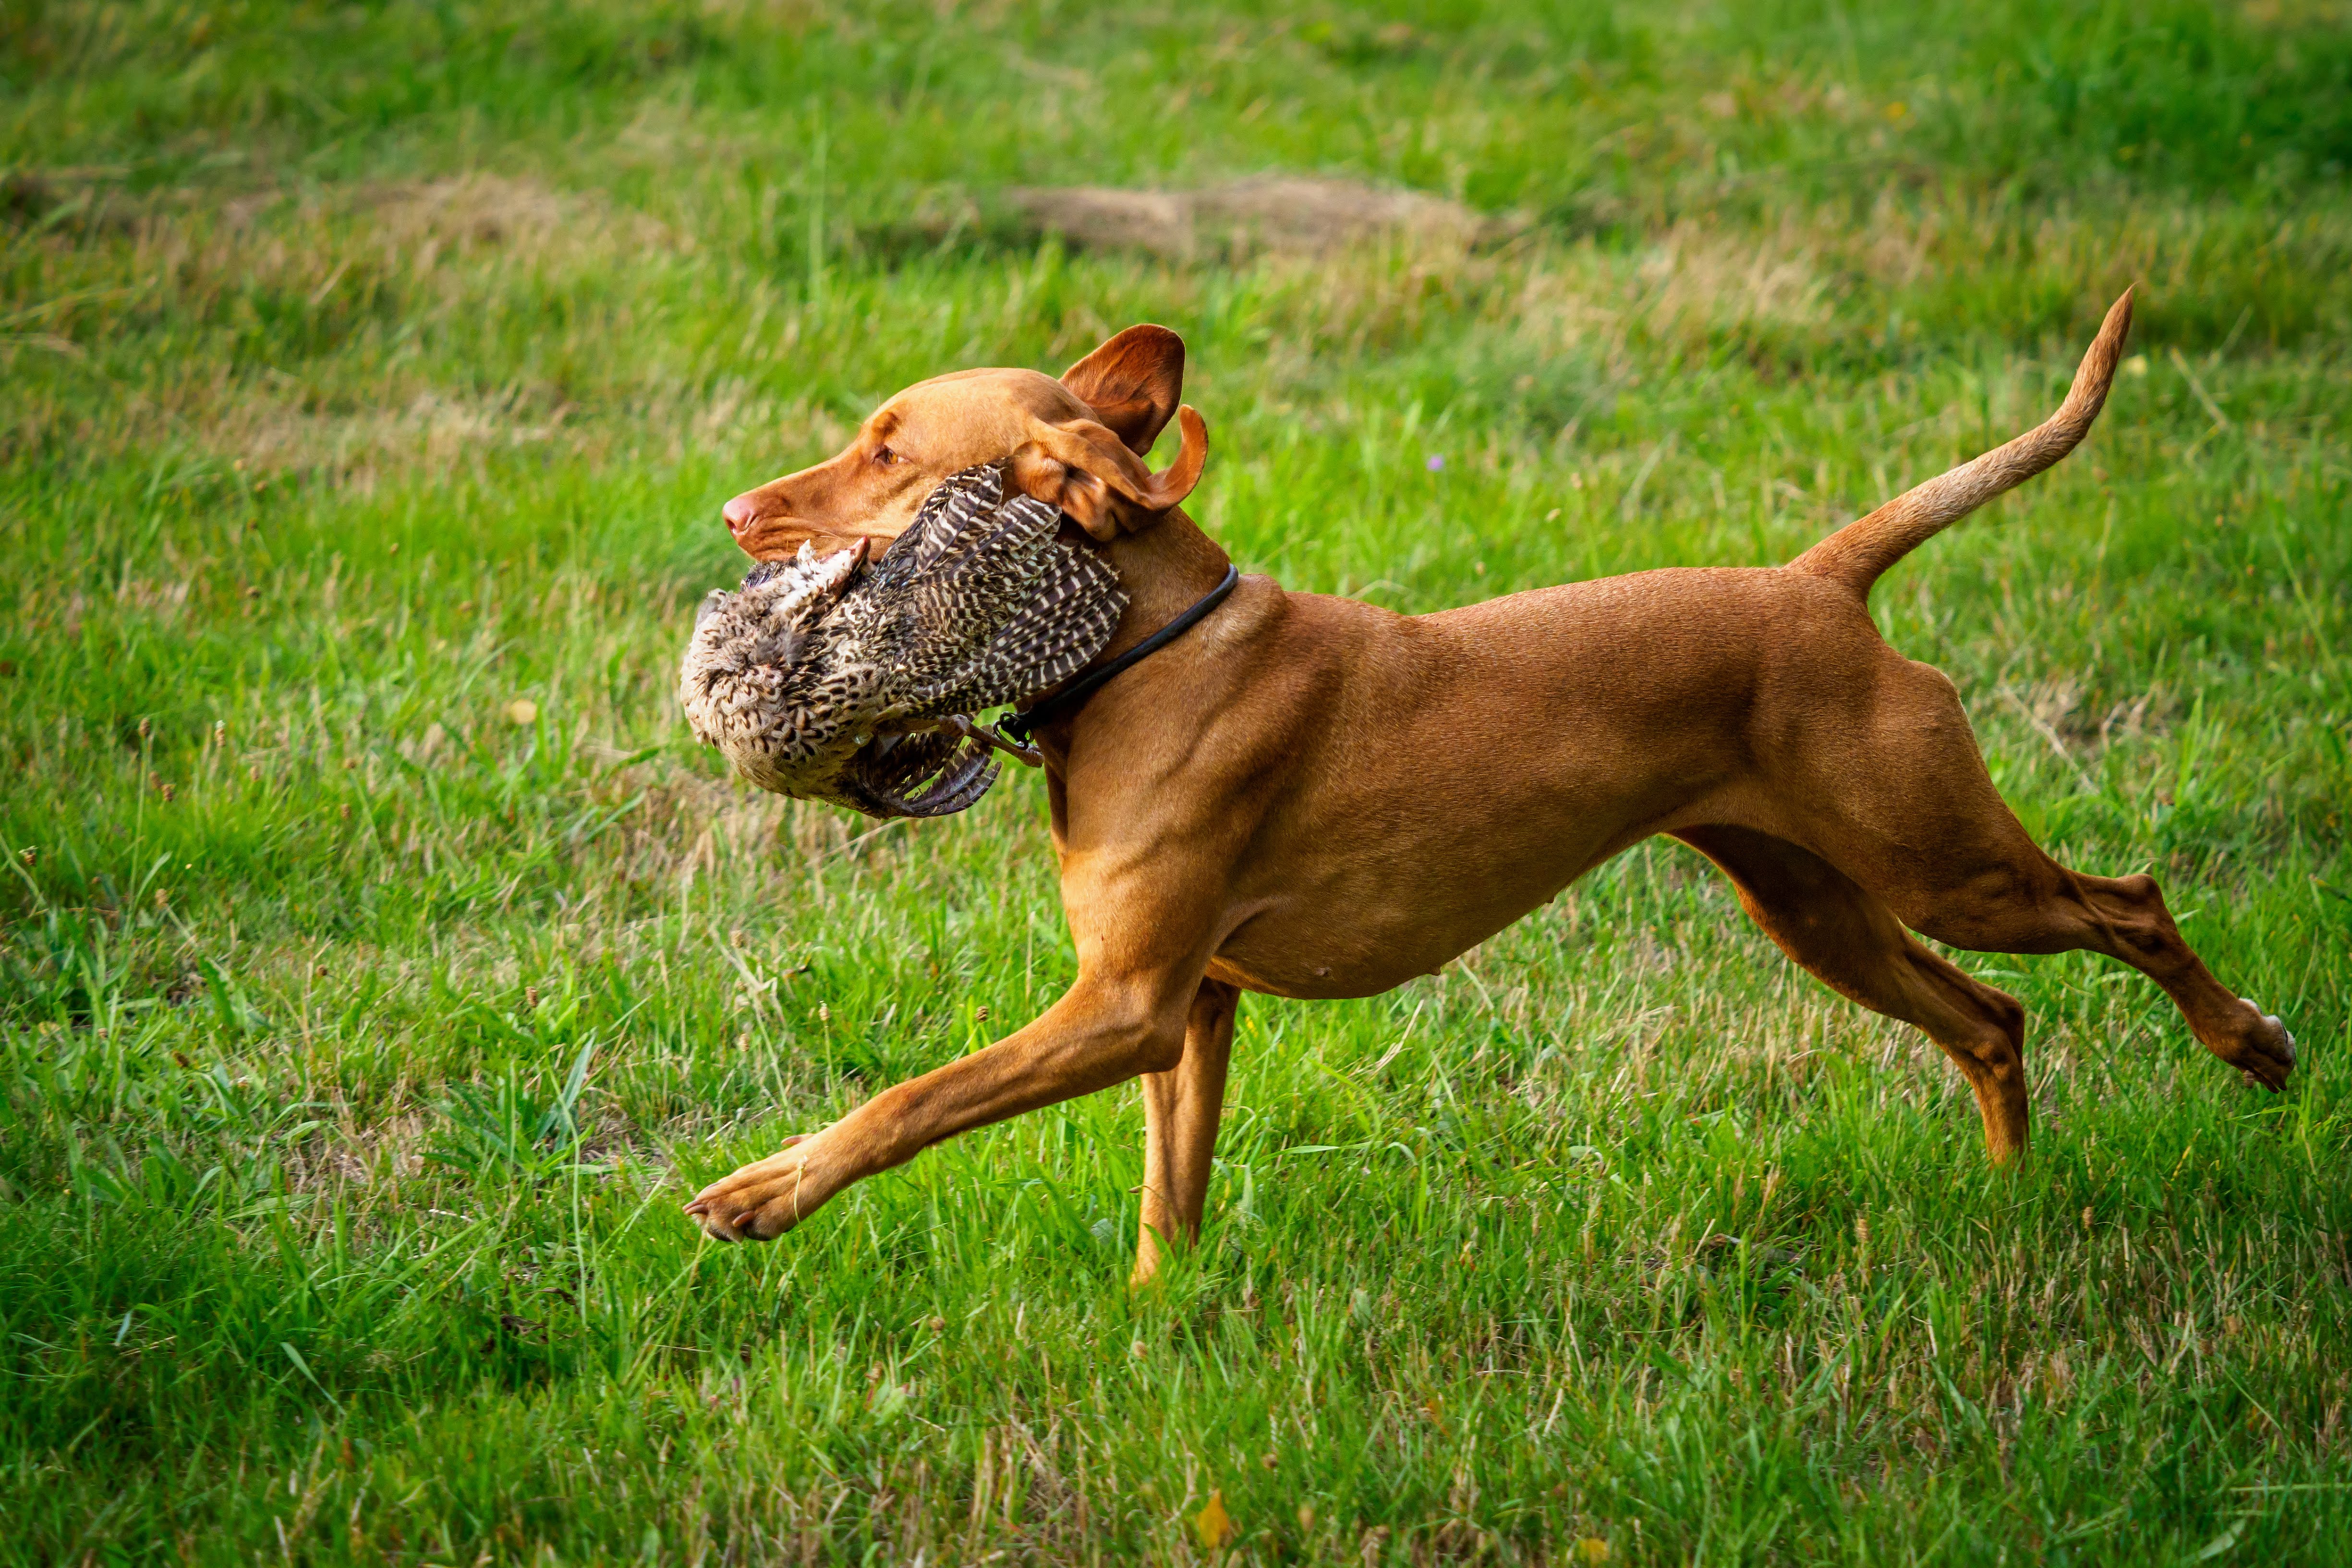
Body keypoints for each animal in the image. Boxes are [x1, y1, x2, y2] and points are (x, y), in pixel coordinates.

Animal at [687, 297, 2295, 1288]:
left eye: (889, 450)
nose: (732, 508)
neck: (1146, 649)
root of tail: (1819, 585)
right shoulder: (1187, 1013)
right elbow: (1167, 1199)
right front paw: (1158, 1324)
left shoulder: (1125, 1003)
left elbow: (912, 1095)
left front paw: (767, 1190)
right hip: (1816, 905)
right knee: (1992, 1020)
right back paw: (2015, 1200)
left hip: (1942, 862)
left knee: (2130, 904)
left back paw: (2249, 1040)